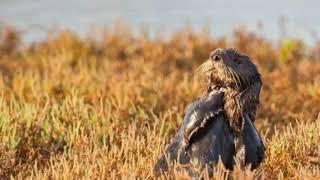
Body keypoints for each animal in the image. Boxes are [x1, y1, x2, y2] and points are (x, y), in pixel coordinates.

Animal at [154, 47, 264, 177]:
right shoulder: (196, 106)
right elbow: (190, 120)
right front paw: (221, 90)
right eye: (215, 53)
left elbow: (253, 153)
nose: (215, 56)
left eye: (238, 61)